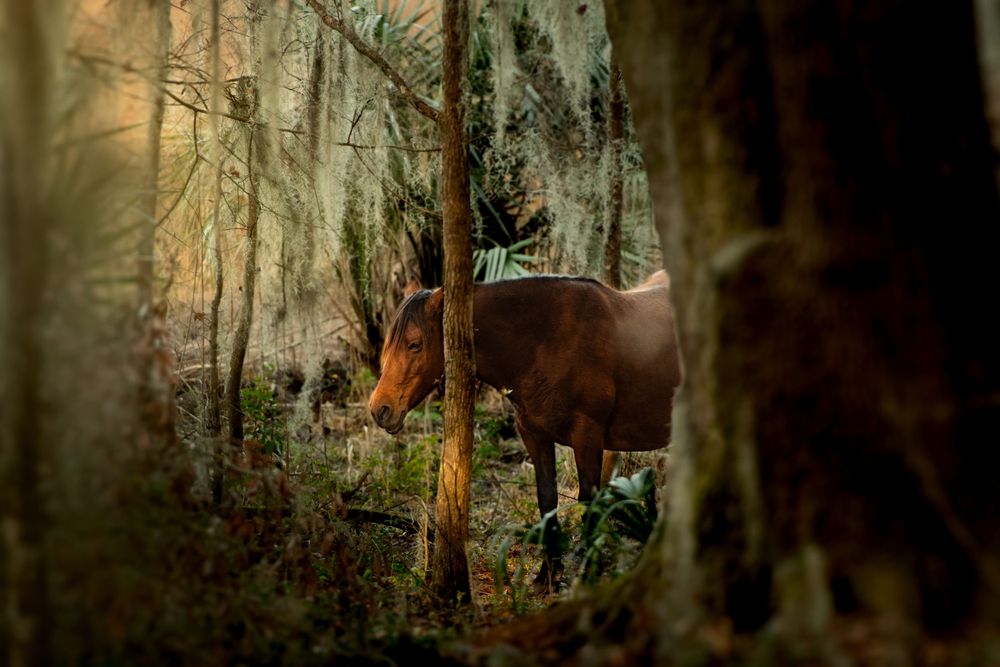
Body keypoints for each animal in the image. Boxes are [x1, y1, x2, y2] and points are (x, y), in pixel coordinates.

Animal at [368, 271, 682, 588]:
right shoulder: (535, 436)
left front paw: (587, 575)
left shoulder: (587, 437)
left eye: (415, 344)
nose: (380, 409)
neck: (546, 341)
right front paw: (548, 575)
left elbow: (588, 503)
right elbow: (547, 500)